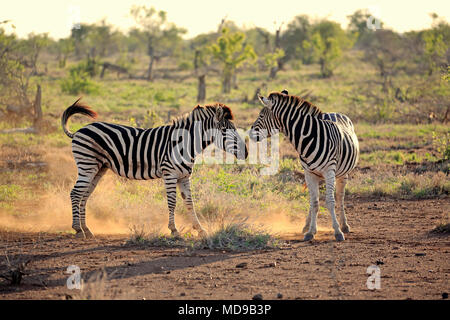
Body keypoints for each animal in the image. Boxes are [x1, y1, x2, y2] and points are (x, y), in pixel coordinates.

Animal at [61, 99, 248, 239]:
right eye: (224, 130)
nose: (245, 152)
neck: (185, 143)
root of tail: (78, 131)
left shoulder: (184, 177)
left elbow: (189, 203)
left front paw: (200, 229)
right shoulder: (170, 174)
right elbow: (172, 202)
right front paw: (174, 230)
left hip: (98, 169)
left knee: (84, 195)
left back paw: (87, 229)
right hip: (87, 164)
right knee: (75, 193)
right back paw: (78, 229)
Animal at [248, 89, 360, 240]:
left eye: (260, 115)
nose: (250, 134)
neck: (309, 138)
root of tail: (334, 112)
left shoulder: (329, 171)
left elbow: (330, 201)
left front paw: (337, 231)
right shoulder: (309, 173)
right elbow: (314, 203)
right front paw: (311, 231)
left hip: (342, 173)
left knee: (339, 197)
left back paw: (344, 226)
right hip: (316, 174)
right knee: (314, 200)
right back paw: (307, 225)